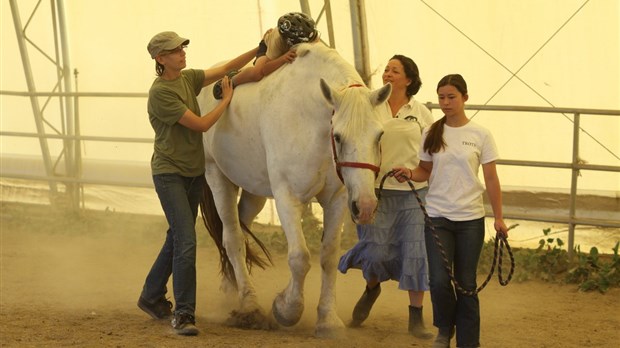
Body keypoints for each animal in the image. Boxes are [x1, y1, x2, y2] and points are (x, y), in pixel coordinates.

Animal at [200, 41, 392, 338]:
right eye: (338, 136)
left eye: (379, 135)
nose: (366, 206)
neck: (312, 120)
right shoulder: (288, 197)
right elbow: (300, 257)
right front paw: (286, 309)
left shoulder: (337, 200)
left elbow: (328, 257)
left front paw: (327, 319)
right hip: (217, 177)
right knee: (232, 239)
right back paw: (249, 304)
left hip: (254, 192)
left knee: (239, 231)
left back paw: (231, 289)